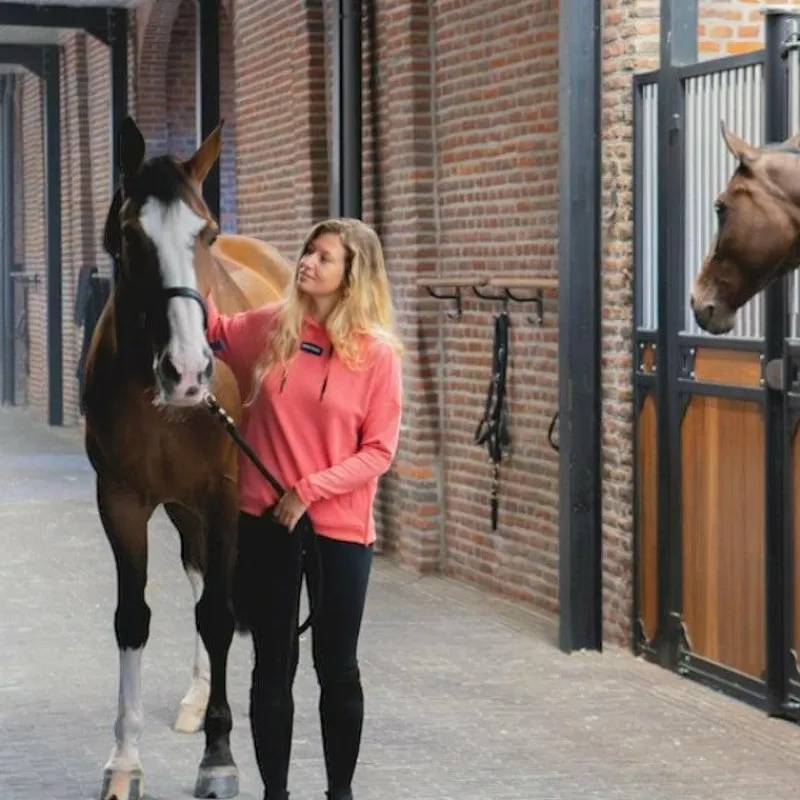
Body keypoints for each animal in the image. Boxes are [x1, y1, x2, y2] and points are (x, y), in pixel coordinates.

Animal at [82, 115, 292, 800]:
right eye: (130, 235)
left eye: (207, 233)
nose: (188, 371)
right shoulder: (121, 499)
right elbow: (133, 619)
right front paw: (124, 762)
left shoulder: (225, 492)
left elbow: (221, 617)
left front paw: (220, 760)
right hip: (181, 506)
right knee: (200, 574)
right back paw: (199, 699)